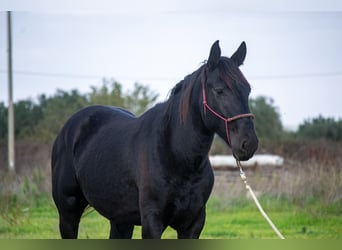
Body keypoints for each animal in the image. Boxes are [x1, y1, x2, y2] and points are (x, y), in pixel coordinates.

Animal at [52, 40, 258, 238]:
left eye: (247, 90)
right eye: (219, 90)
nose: (249, 144)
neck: (176, 155)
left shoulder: (193, 224)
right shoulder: (152, 222)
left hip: (120, 219)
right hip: (68, 214)